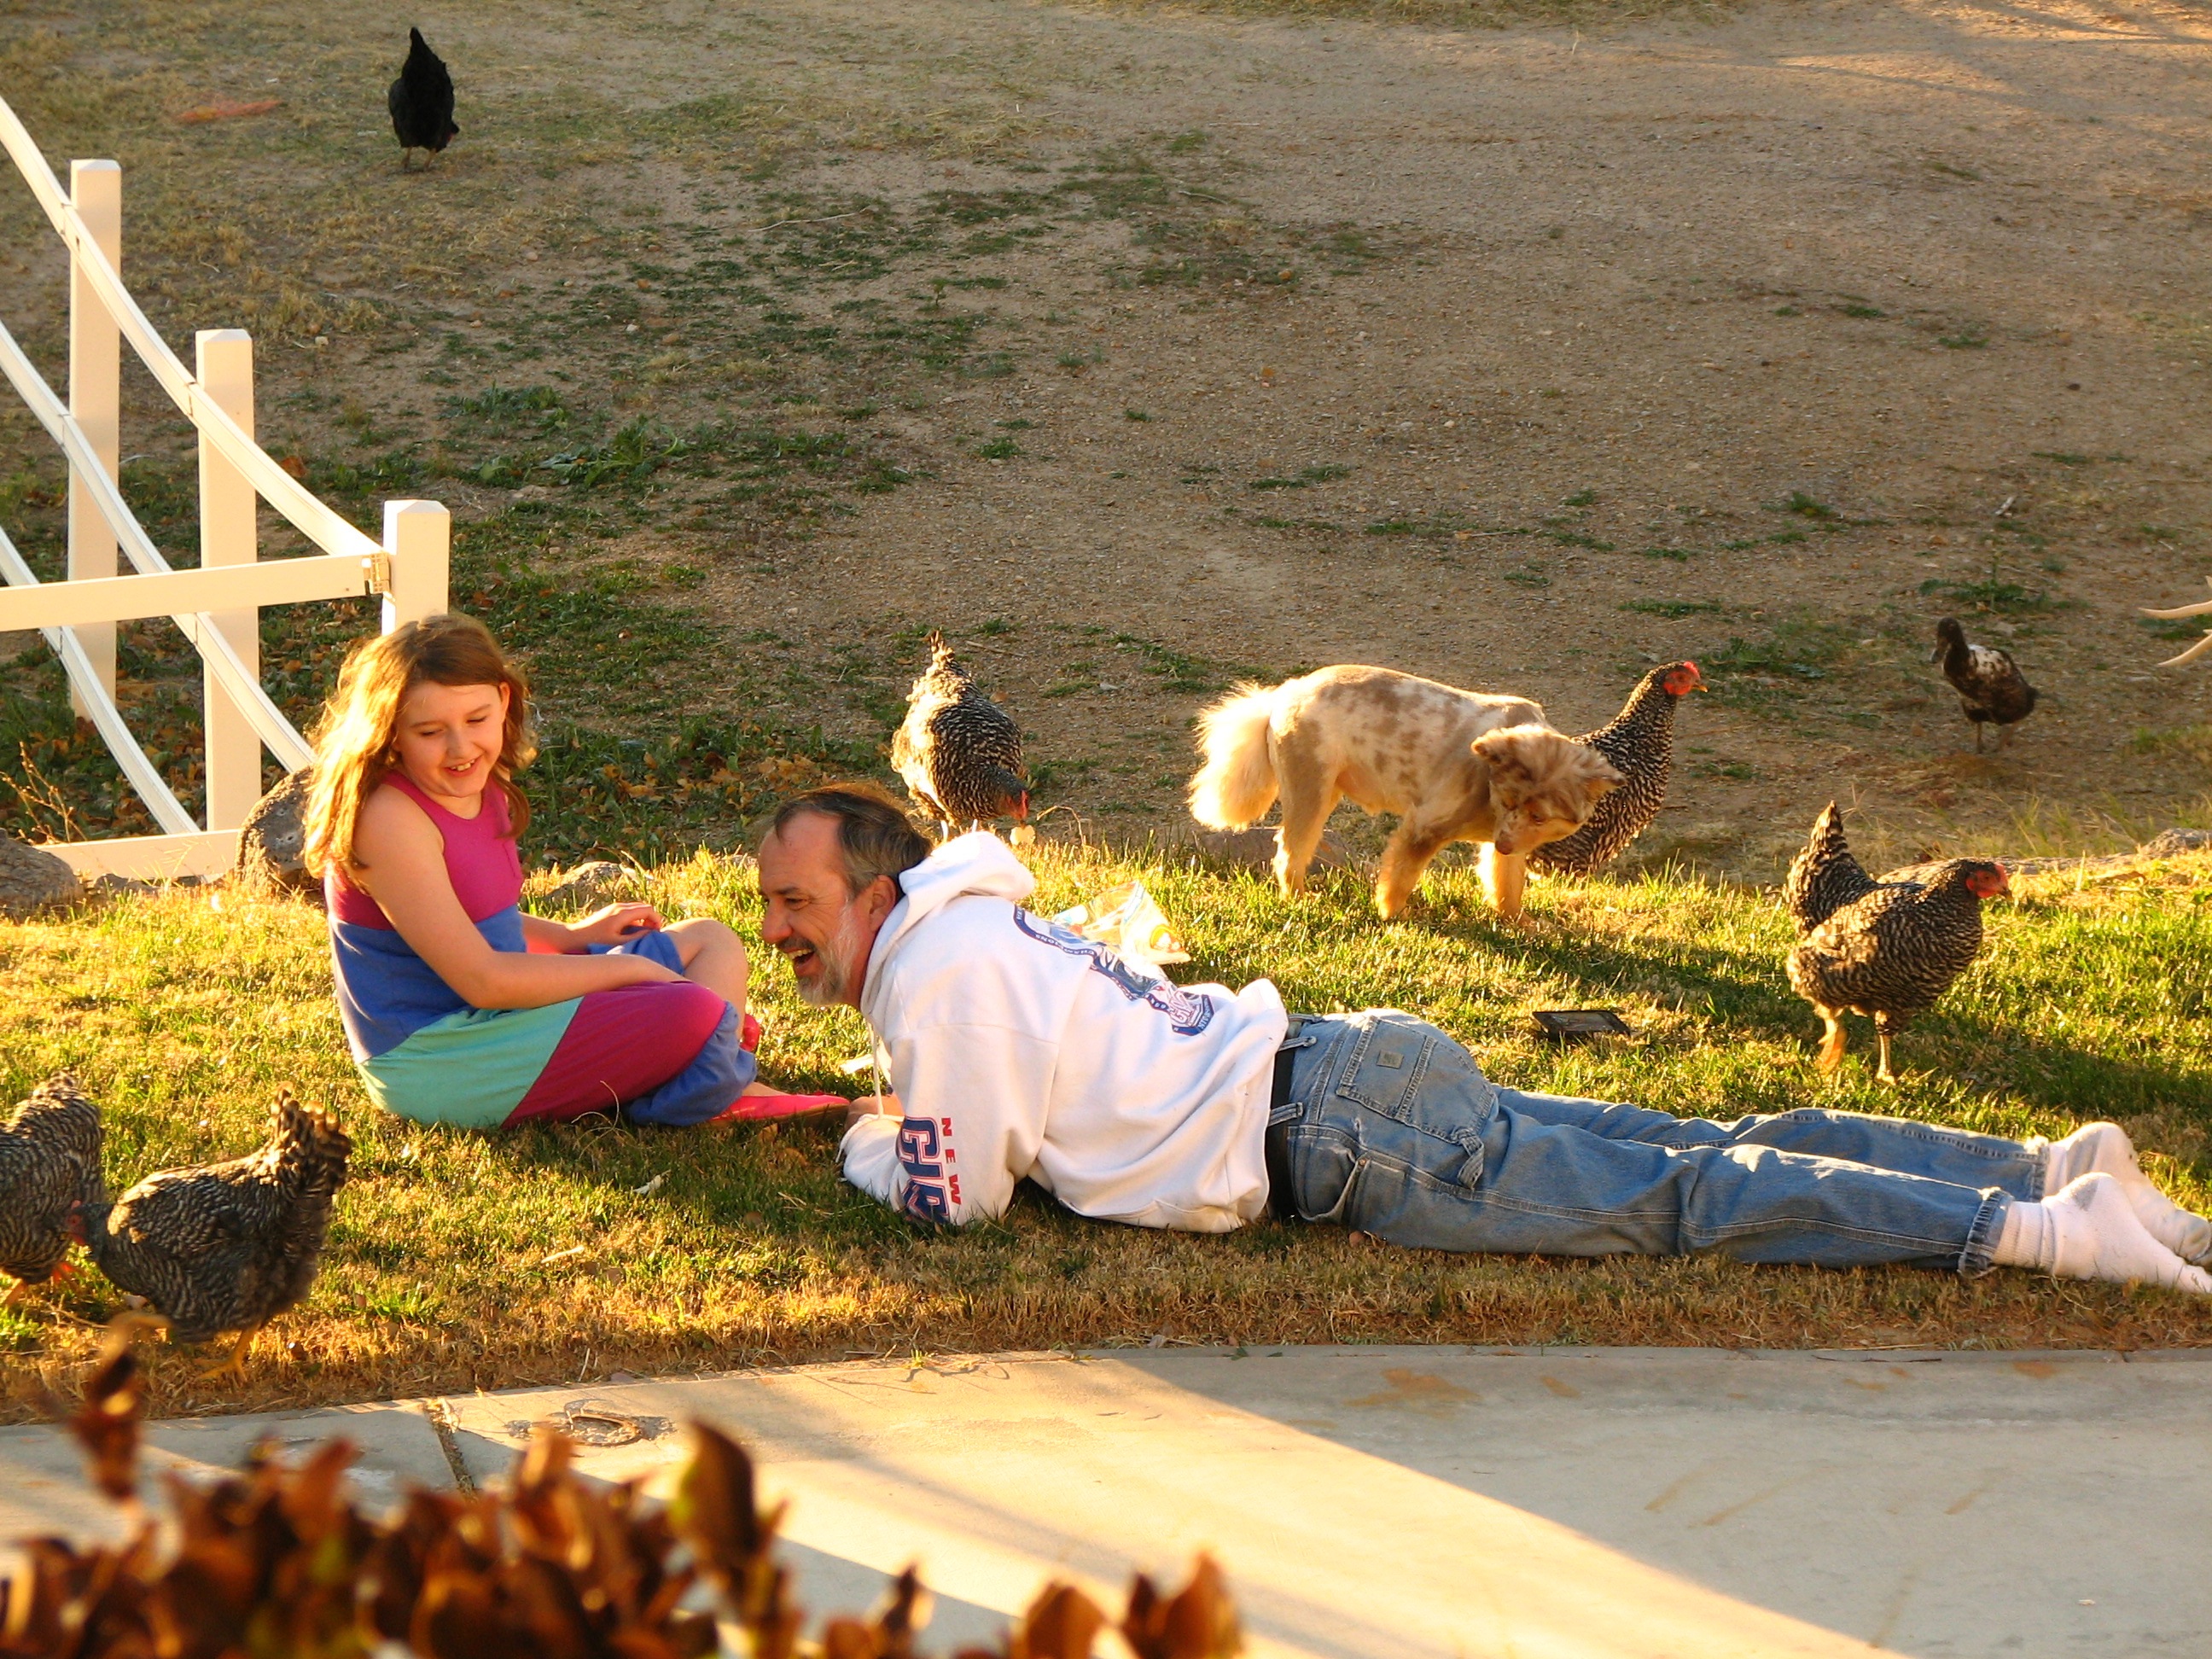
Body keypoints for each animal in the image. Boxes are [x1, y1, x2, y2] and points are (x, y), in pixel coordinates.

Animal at [1194, 667, 1627, 924]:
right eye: (1507, 801)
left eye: (1539, 817)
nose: (1504, 842)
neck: (1486, 777)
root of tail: (1283, 694)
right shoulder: (1422, 828)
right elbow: (1400, 878)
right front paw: (1392, 917)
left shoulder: (1508, 847)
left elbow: (1507, 885)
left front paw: (1515, 923)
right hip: (1310, 792)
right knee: (1289, 854)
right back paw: (1299, 900)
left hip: (1325, 791)